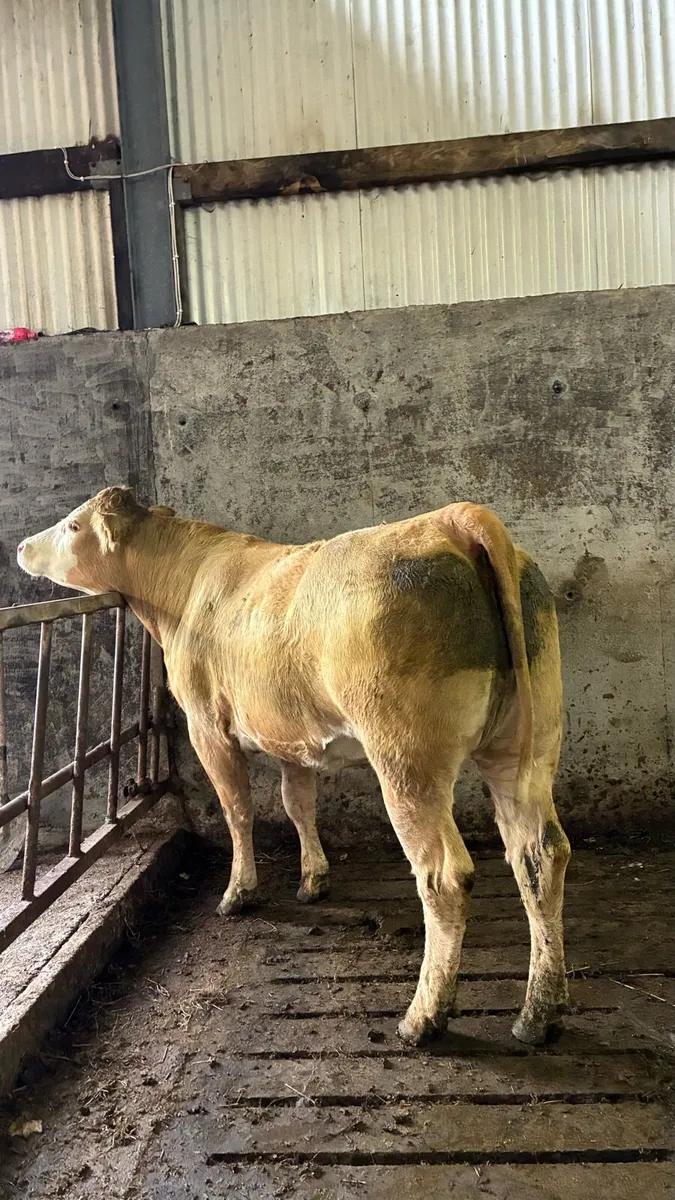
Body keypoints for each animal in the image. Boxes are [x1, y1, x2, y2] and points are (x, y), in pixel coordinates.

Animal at [18, 487, 570, 1046]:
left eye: (72, 525)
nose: (21, 545)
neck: (181, 587)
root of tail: (451, 519)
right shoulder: (288, 733)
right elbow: (298, 804)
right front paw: (313, 880)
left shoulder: (205, 724)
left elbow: (237, 809)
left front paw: (238, 892)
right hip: (527, 743)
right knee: (540, 855)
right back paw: (538, 1013)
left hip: (406, 758)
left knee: (444, 876)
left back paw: (423, 1017)